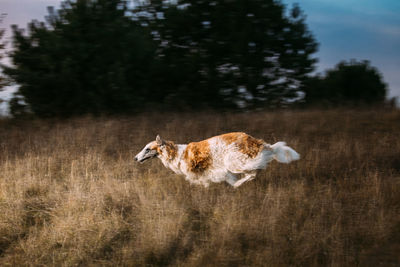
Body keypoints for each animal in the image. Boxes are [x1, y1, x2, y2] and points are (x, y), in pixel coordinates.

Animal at [135, 132, 300, 188]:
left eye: (147, 149)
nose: (135, 158)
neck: (176, 153)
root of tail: (257, 142)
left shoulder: (210, 172)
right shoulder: (211, 173)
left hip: (233, 161)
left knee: (254, 171)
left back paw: (241, 183)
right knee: (253, 172)